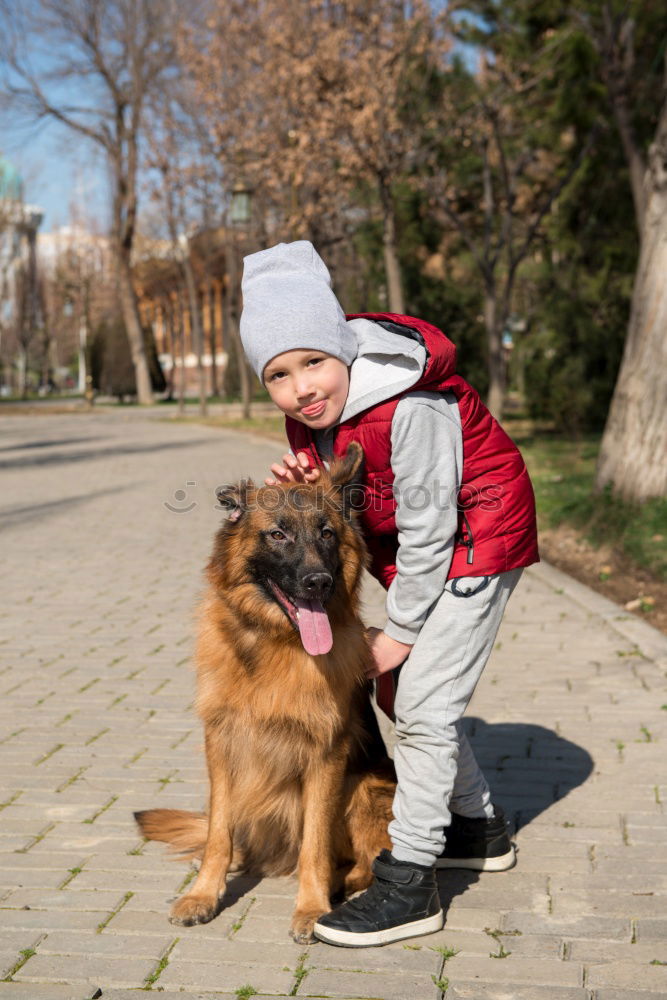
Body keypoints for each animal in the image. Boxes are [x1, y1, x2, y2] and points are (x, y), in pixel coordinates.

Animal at [136, 442, 396, 940]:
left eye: (327, 534)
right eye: (278, 534)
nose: (319, 582)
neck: (276, 643)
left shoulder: (326, 754)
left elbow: (315, 843)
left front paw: (312, 906)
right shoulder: (221, 743)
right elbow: (218, 830)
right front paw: (204, 893)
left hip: (367, 787)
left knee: (368, 862)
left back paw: (338, 884)